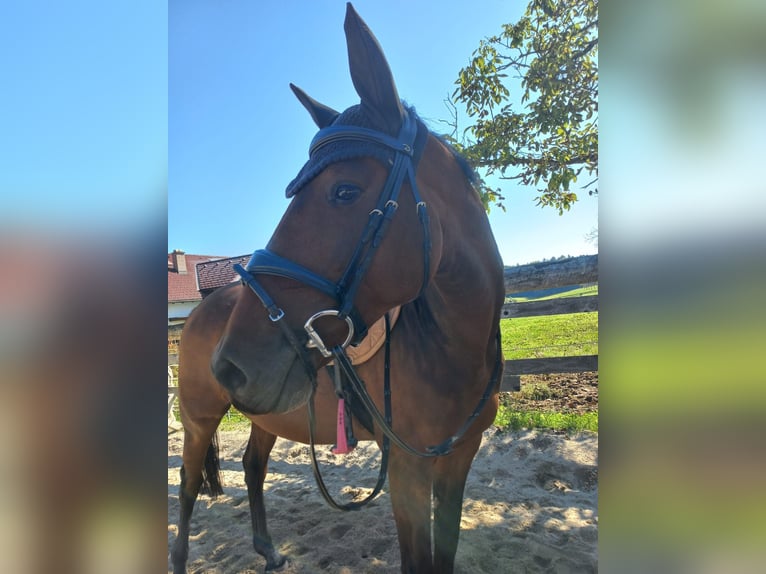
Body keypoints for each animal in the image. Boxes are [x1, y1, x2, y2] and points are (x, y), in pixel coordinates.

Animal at [170, 4, 505, 573]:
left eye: (344, 191)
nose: (230, 366)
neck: (453, 347)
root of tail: (201, 310)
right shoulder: (408, 474)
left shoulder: (457, 463)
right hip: (198, 419)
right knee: (188, 483)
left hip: (268, 413)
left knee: (253, 466)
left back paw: (268, 549)